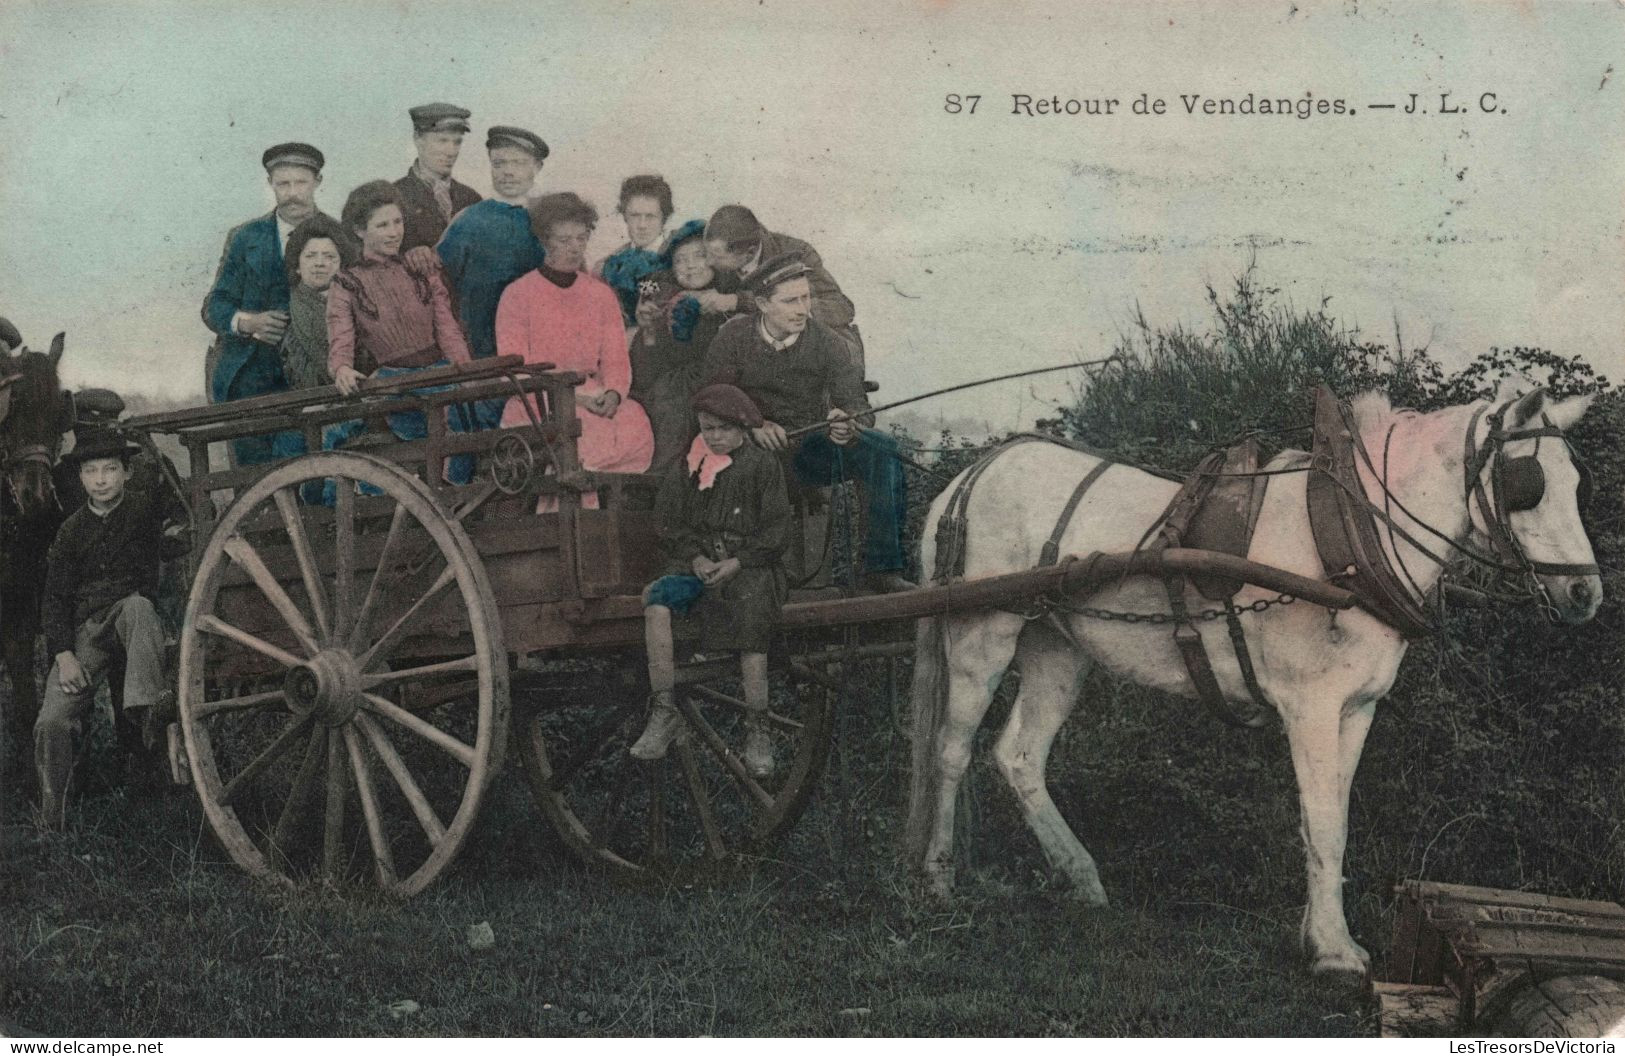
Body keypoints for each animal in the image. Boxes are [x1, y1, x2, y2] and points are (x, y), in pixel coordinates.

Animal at [910, 381, 1605, 974]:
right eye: (1528, 484)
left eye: (1577, 482)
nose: (1584, 593)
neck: (1353, 535)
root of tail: (968, 477)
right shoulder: (1311, 707)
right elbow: (1322, 823)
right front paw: (1334, 952)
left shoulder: (1356, 709)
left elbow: (1333, 819)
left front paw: (1320, 933)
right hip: (980, 634)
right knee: (950, 750)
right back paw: (938, 878)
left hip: (1057, 648)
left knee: (1020, 756)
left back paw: (1080, 876)